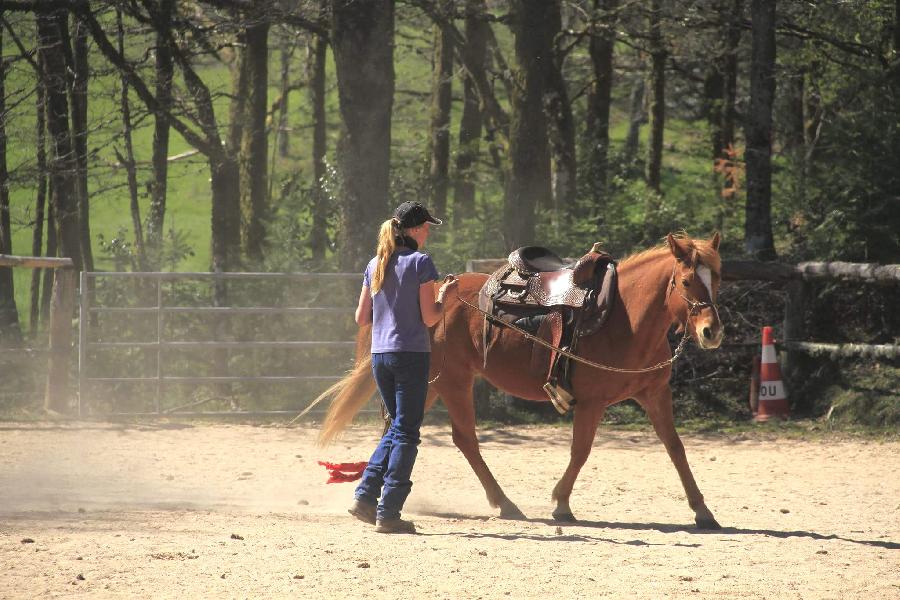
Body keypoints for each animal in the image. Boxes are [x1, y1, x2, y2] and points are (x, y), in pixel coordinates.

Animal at [316, 232, 724, 528]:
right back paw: (504, 503)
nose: (712, 332)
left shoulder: (655, 395)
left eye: (717, 278)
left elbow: (676, 449)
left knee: (399, 429)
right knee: (463, 438)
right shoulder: (591, 403)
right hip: (450, 381)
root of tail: (436, 293)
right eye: (687, 280)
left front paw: (703, 511)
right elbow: (581, 451)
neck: (622, 318)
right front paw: (561, 504)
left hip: (431, 383)